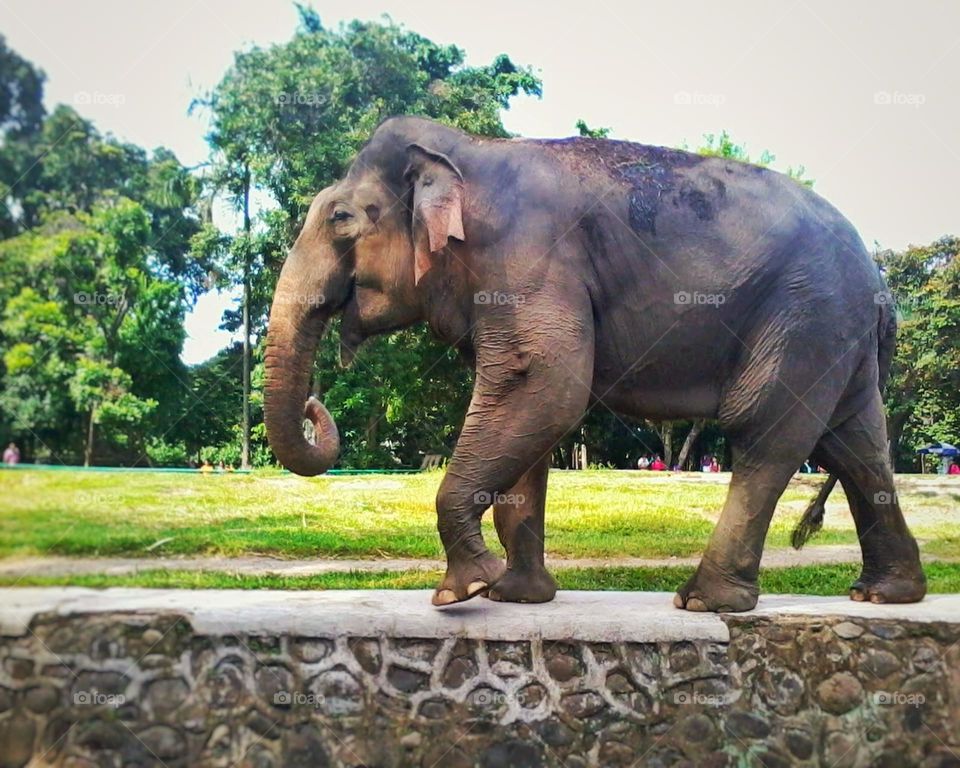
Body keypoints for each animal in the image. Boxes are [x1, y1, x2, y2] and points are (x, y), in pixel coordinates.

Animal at [263, 115, 926, 612]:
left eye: (340, 219)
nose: (316, 403)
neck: (466, 151)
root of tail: (880, 283)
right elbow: (530, 404)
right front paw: (515, 597)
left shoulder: (525, 255)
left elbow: (546, 385)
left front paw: (464, 590)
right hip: (833, 332)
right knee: (855, 443)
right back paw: (885, 595)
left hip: (804, 313)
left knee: (767, 432)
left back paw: (703, 601)